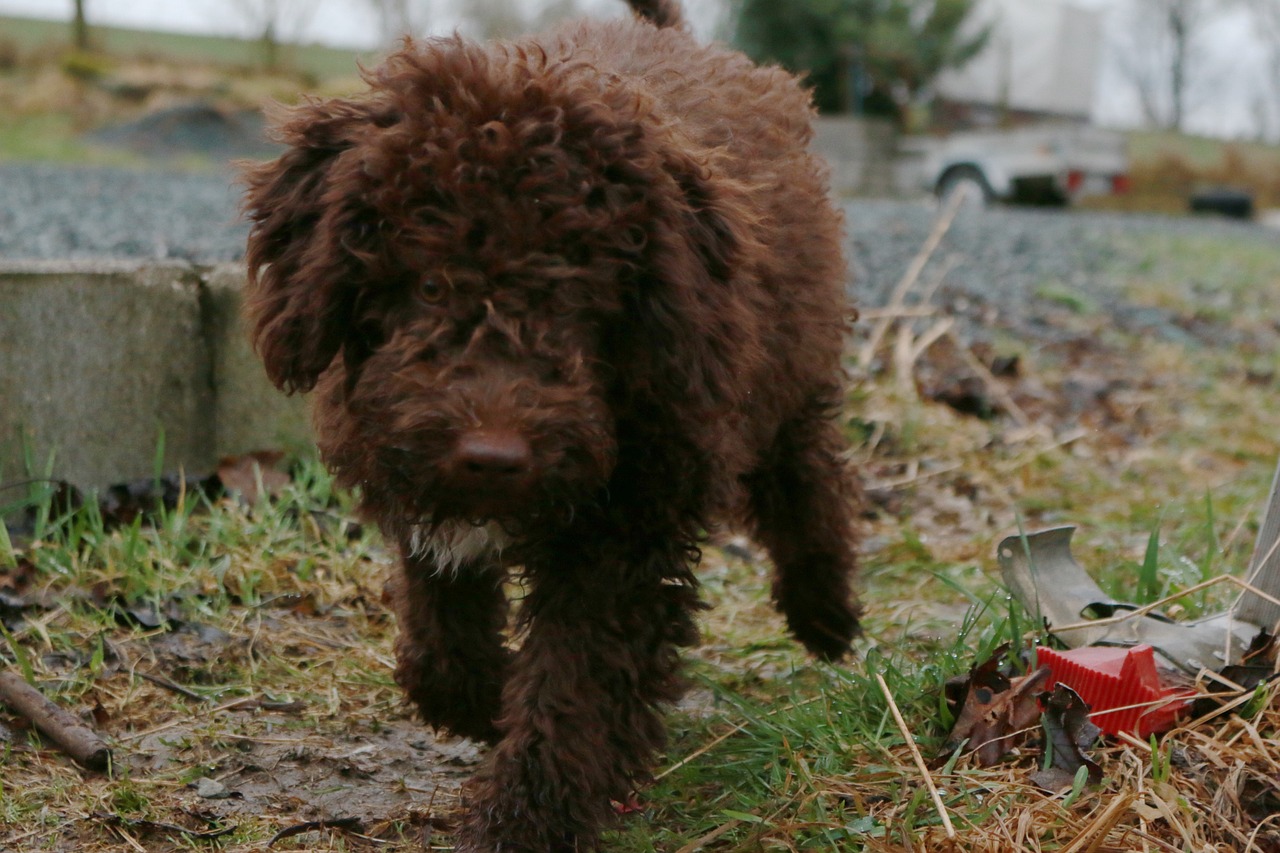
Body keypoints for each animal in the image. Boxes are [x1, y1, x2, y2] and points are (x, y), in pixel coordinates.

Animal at [240, 1, 860, 845]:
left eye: (575, 298)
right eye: (428, 285)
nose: (494, 454)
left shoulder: (627, 525)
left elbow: (576, 683)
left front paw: (526, 819)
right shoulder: (419, 477)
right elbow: (442, 637)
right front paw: (481, 699)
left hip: (788, 371)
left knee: (809, 473)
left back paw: (826, 612)